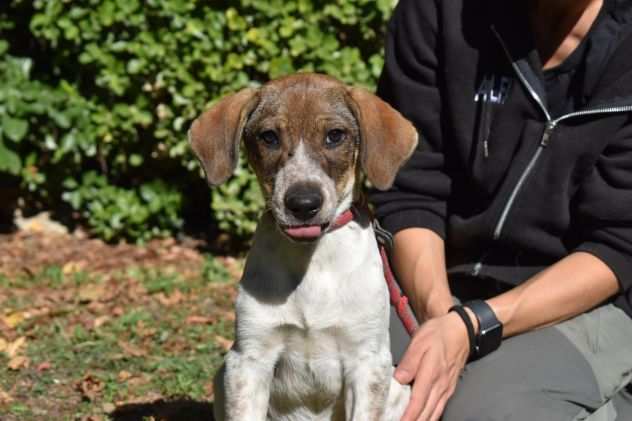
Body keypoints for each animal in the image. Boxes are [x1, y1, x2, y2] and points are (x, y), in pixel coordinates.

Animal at [190, 74, 418, 418]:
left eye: (335, 136)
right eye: (269, 137)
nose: (303, 203)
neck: (314, 261)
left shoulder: (368, 361)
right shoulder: (248, 359)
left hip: (397, 391)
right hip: (222, 377)